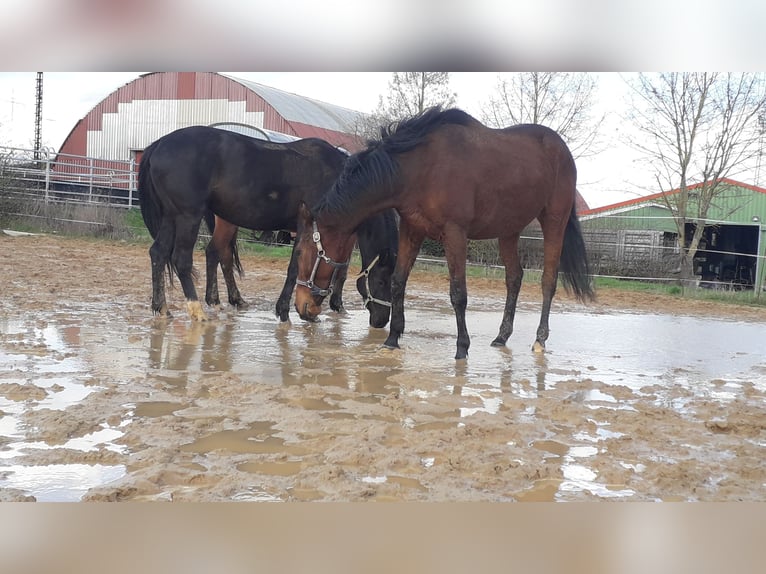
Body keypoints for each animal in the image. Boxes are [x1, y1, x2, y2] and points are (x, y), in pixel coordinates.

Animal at [138, 126, 400, 328]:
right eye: (382, 281)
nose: (381, 320)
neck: (336, 179)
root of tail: (159, 145)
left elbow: (332, 268)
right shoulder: (310, 228)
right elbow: (298, 267)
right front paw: (285, 311)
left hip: (171, 217)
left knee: (160, 253)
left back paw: (164, 308)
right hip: (187, 216)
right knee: (182, 259)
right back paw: (197, 311)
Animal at [296, 107, 596, 360]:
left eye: (306, 255)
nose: (301, 306)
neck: (419, 167)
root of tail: (560, 147)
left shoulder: (455, 234)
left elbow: (458, 294)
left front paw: (462, 348)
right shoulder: (412, 229)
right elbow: (398, 282)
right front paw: (393, 339)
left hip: (554, 221)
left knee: (548, 281)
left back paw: (539, 340)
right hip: (508, 230)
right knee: (514, 278)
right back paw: (502, 336)